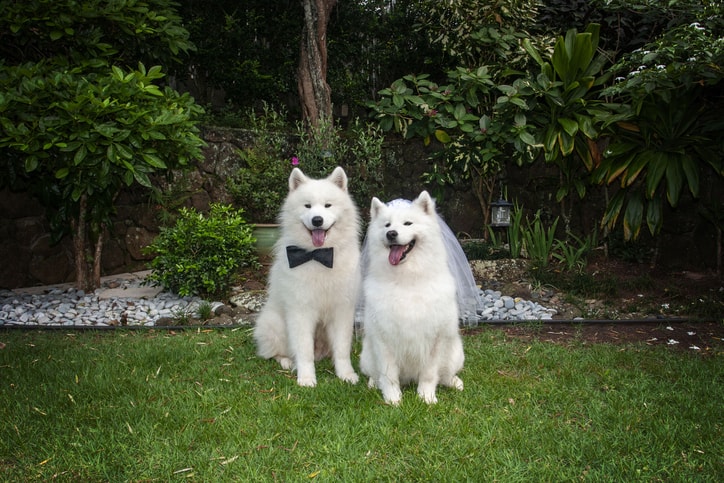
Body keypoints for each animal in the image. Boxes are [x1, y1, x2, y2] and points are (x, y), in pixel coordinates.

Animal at [255, 168, 362, 388]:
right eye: (307, 206)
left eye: (328, 205)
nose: (317, 220)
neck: (318, 255)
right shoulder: (300, 311)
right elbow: (304, 351)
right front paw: (306, 378)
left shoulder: (342, 311)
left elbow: (342, 349)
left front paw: (346, 374)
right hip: (275, 324)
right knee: (277, 352)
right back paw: (287, 362)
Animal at [360, 192, 464, 404]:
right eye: (387, 225)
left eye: (408, 223)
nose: (391, 234)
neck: (407, 280)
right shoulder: (384, 339)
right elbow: (389, 375)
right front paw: (393, 399)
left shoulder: (434, 340)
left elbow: (429, 375)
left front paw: (426, 397)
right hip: (366, 355)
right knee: (375, 374)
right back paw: (374, 383)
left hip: (456, 353)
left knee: (445, 375)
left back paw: (455, 382)